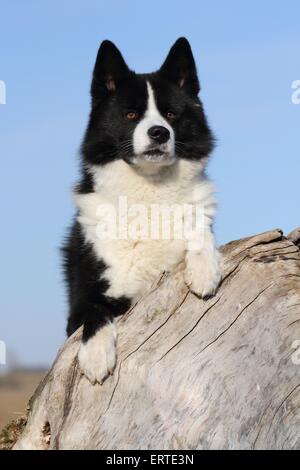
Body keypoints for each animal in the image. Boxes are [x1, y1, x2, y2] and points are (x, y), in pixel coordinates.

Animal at [63, 38, 221, 384]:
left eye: (171, 114)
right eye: (131, 114)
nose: (159, 132)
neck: (149, 193)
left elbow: (200, 233)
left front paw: (205, 269)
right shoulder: (83, 302)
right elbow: (94, 310)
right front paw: (96, 355)